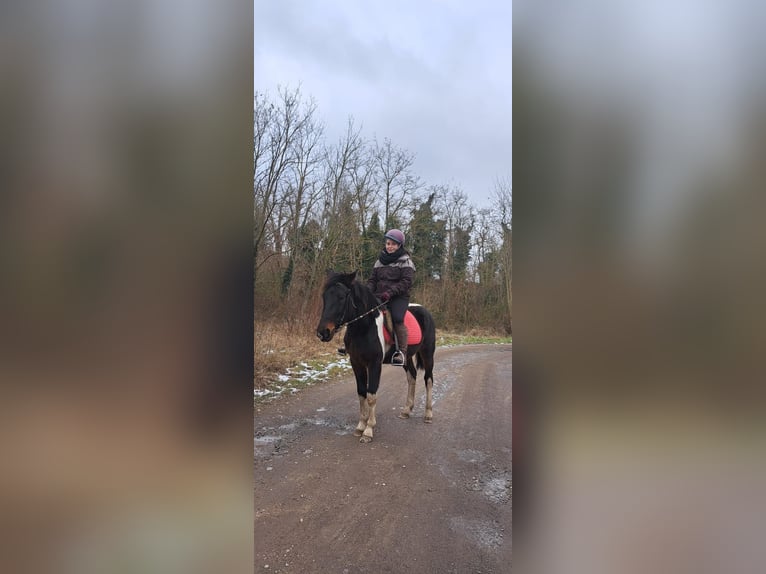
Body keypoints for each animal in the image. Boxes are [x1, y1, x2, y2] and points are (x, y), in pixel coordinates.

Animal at [316, 272, 438, 446]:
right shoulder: (357, 364)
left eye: (341, 297)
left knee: (428, 379)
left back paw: (428, 414)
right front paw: (360, 426)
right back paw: (406, 410)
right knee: (412, 377)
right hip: (406, 358)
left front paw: (368, 430)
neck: (364, 328)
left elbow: (371, 395)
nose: (323, 333)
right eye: (324, 296)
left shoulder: (374, 364)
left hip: (428, 353)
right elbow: (361, 393)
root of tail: (424, 311)